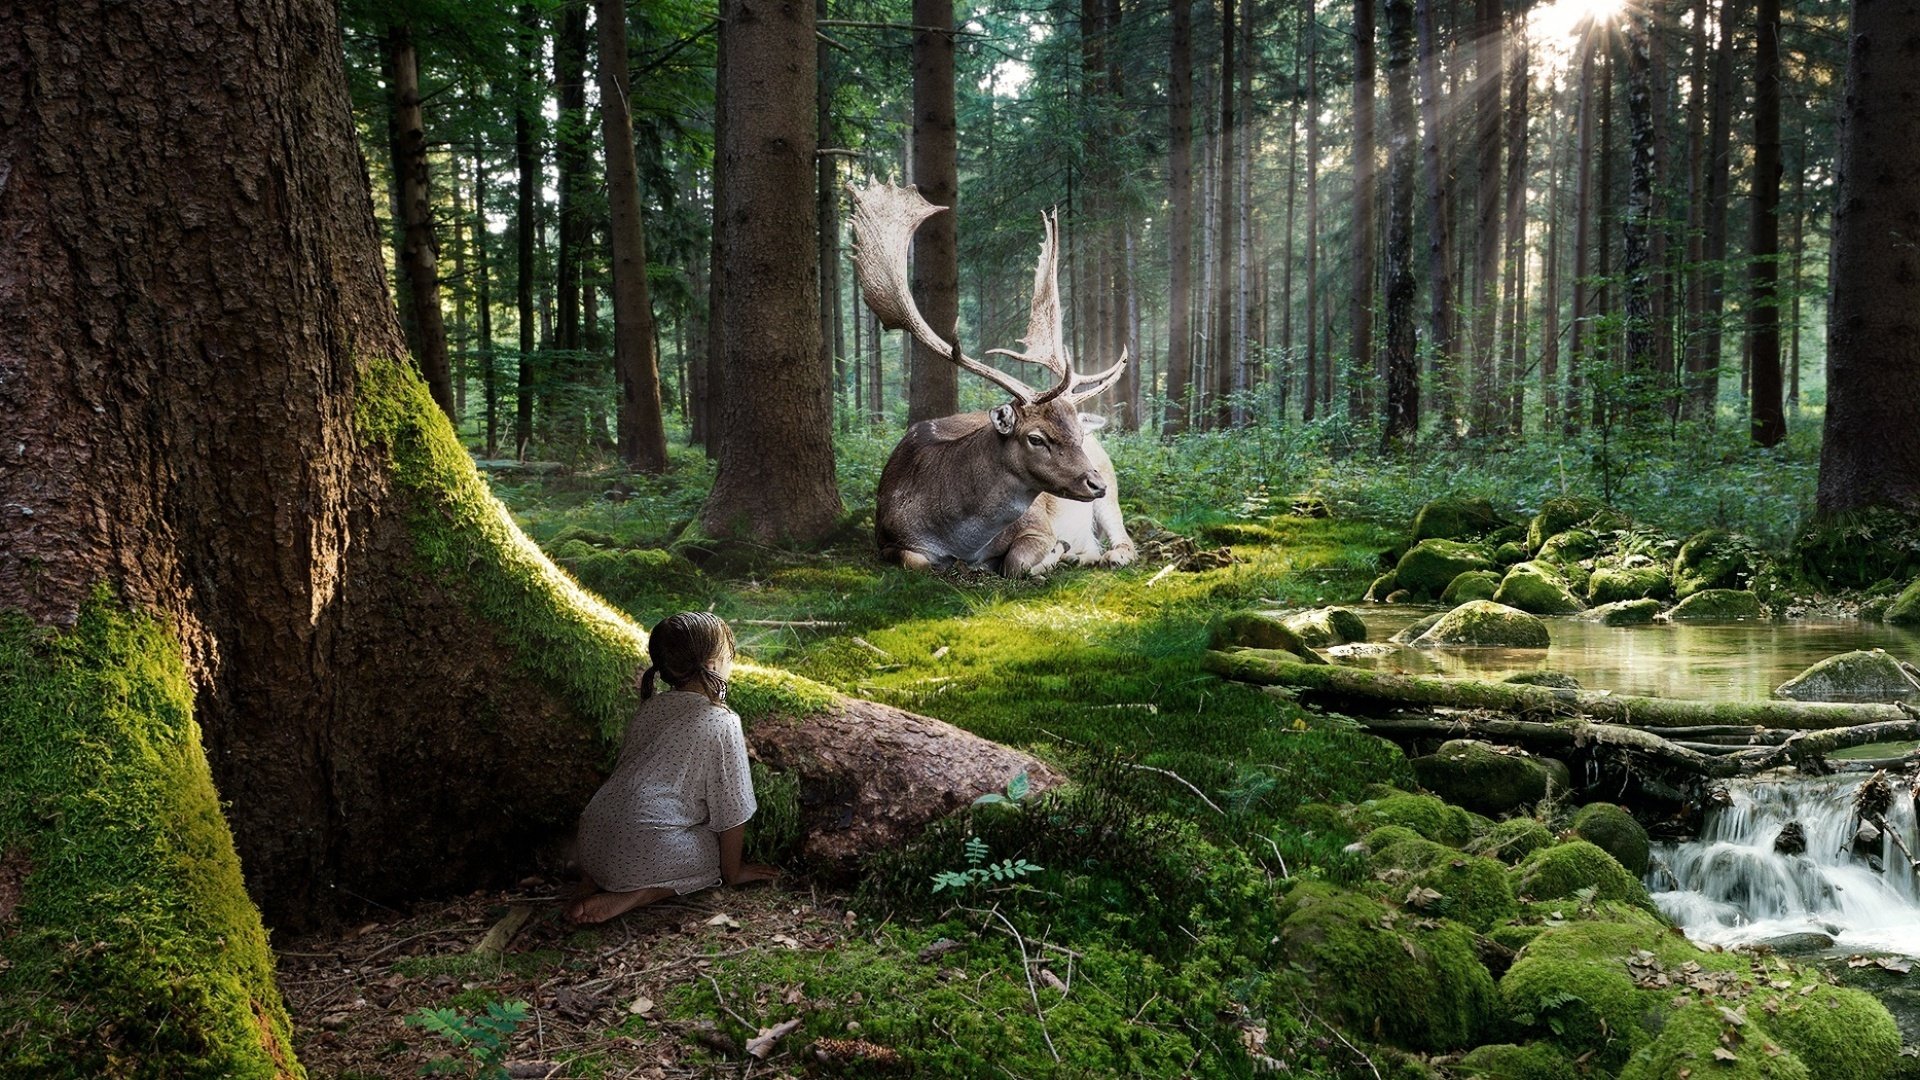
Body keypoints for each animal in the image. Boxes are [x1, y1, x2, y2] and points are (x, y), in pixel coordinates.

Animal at [849, 182, 1134, 577]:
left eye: (1077, 434)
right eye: (1036, 438)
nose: (1095, 483)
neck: (960, 540)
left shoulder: (1037, 524)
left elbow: (1016, 562)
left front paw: (1052, 553)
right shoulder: (887, 537)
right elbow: (915, 561)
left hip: (1111, 482)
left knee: (1124, 537)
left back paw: (1104, 553)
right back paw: (1079, 553)